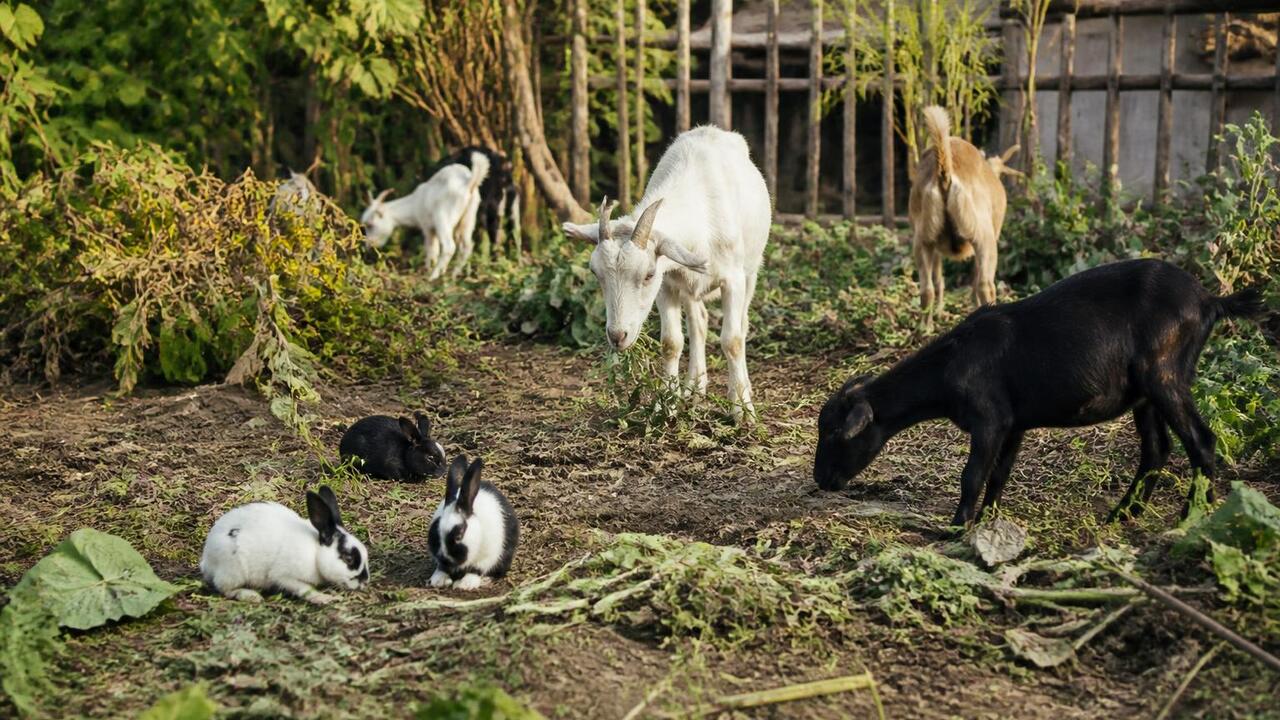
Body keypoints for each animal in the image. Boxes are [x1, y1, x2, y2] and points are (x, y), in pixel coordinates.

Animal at [360, 152, 489, 280]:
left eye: (370, 225)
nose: (368, 248)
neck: (414, 204)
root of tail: (469, 183)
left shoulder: (427, 227)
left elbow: (431, 249)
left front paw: (428, 270)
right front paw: (441, 271)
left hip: (443, 218)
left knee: (449, 246)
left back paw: (433, 276)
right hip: (469, 218)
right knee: (466, 247)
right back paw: (453, 275)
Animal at [562, 126, 771, 423]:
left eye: (648, 275)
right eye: (596, 273)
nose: (617, 336)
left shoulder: (732, 279)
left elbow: (732, 340)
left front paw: (742, 411)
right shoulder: (668, 284)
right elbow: (671, 342)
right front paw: (666, 406)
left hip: (751, 271)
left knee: (741, 324)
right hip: (688, 283)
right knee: (699, 322)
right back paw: (694, 388)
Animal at [814, 259, 1266, 528]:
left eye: (836, 434)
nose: (820, 479)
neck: (952, 362)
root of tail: (1210, 300)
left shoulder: (989, 419)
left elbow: (972, 474)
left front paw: (957, 526)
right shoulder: (1013, 423)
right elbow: (998, 474)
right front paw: (987, 522)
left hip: (1165, 374)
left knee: (1201, 441)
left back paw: (1192, 516)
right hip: (1145, 393)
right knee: (1157, 449)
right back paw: (1123, 514)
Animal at [908, 106, 1016, 327]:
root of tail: (945, 172)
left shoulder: (935, 246)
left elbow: (939, 278)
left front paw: (940, 311)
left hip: (923, 238)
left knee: (927, 288)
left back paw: (926, 327)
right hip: (984, 238)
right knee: (984, 284)